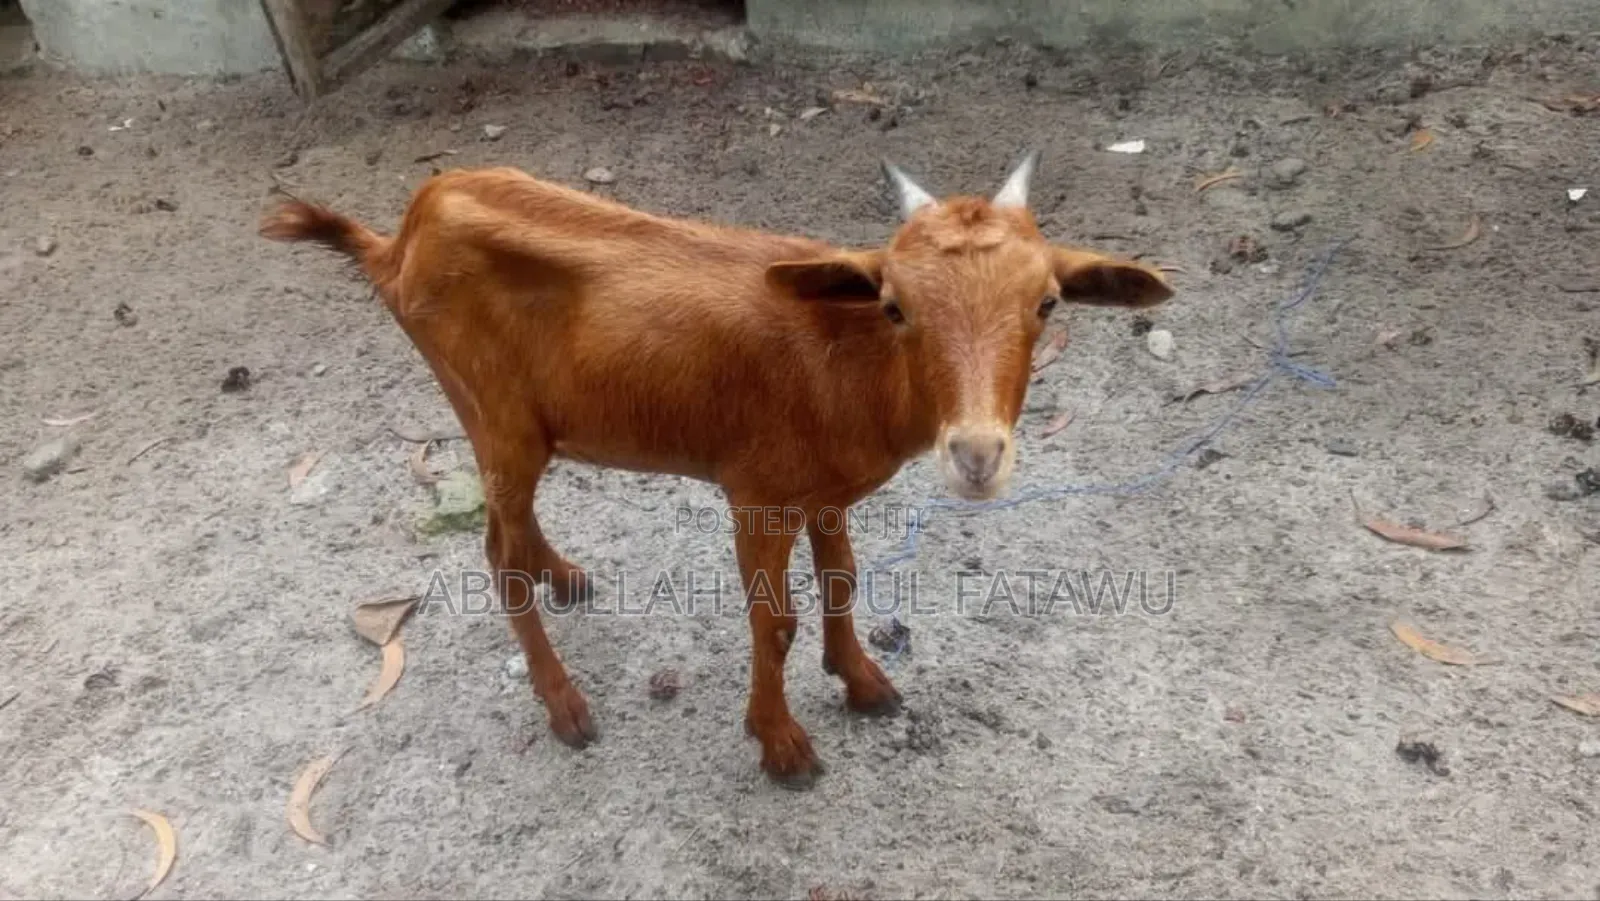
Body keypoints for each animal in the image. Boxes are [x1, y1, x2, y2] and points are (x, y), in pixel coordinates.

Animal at [259, 152, 1175, 789]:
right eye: (895, 306)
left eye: (1047, 304)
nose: (977, 455)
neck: (846, 358)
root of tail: (401, 236)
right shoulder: (757, 495)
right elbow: (774, 620)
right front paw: (782, 745)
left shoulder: (825, 492)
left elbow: (841, 579)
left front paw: (863, 681)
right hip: (494, 411)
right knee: (496, 551)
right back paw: (565, 705)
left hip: (499, 418)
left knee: (509, 524)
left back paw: (566, 577)